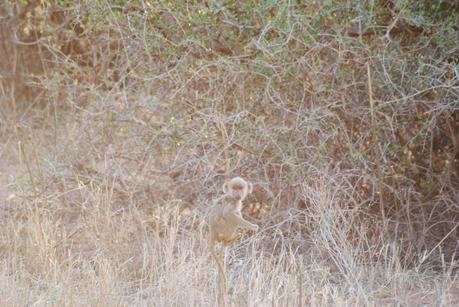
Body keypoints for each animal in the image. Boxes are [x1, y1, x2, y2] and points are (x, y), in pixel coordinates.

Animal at [208, 177, 258, 306]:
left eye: (240, 188)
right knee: (233, 217)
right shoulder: (234, 203)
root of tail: (212, 232)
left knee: (237, 214)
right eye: (234, 188)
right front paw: (253, 227)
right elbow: (228, 214)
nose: (237, 193)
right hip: (222, 230)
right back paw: (231, 238)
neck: (231, 197)